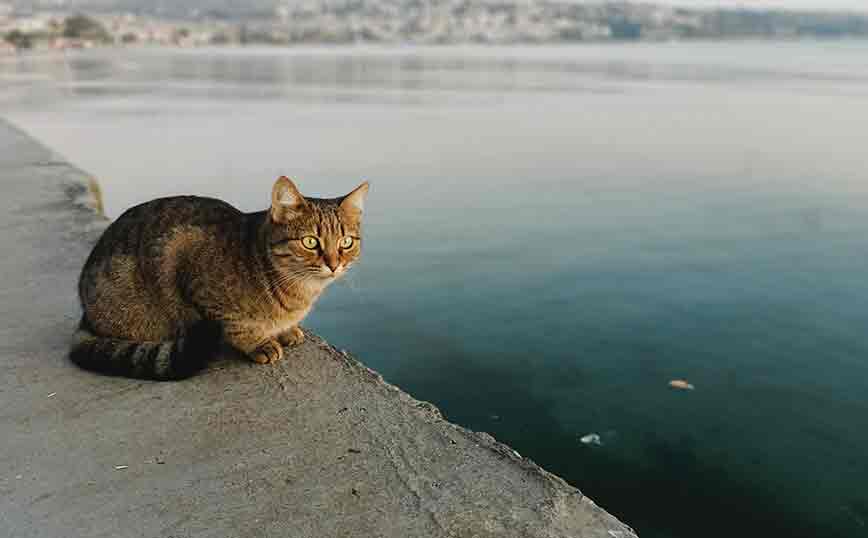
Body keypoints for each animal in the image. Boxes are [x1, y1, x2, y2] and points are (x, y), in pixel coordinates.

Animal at [68, 175, 366, 376]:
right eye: (310, 242)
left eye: (346, 242)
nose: (334, 264)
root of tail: (85, 315)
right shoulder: (190, 270)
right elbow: (236, 326)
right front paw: (258, 343)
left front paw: (286, 330)